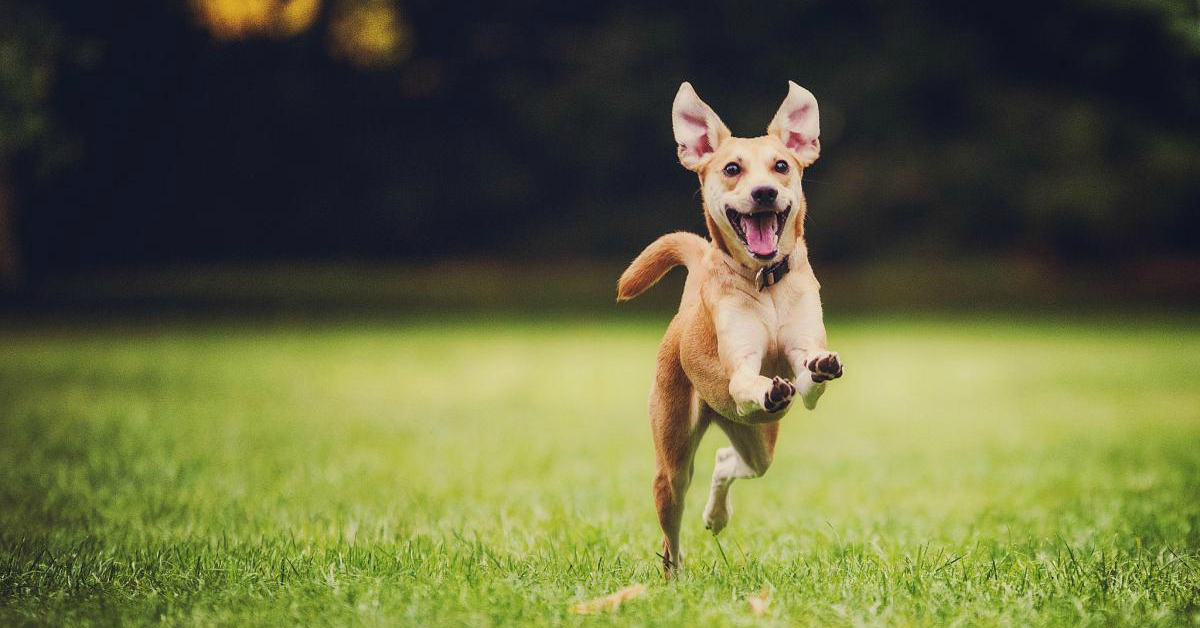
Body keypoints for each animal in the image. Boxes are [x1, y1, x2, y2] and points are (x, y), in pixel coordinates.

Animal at [619, 83, 844, 581]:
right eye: (731, 168)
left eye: (781, 166)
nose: (763, 192)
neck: (767, 283)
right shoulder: (739, 368)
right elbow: (747, 379)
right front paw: (766, 387)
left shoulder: (803, 364)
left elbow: (809, 376)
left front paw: (816, 368)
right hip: (673, 456)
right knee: (671, 530)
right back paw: (674, 578)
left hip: (758, 440)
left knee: (731, 461)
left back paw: (716, 516)